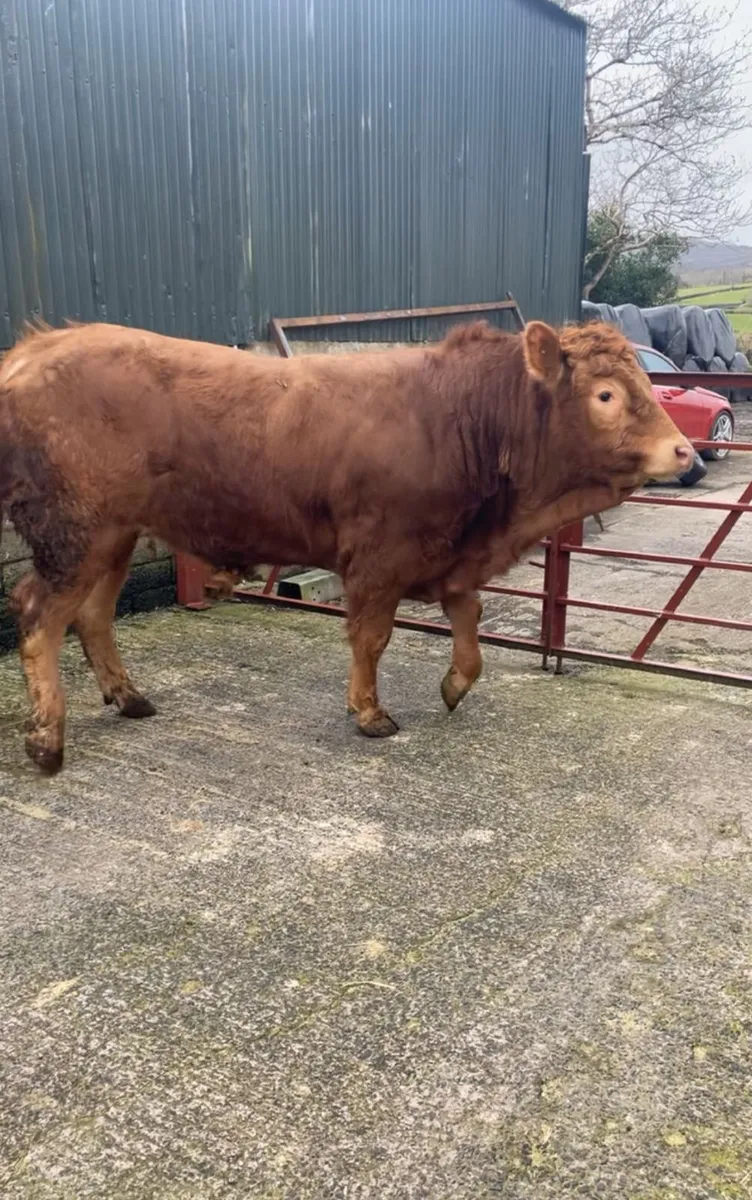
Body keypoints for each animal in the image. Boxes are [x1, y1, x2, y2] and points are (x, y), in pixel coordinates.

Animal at [0, 318, 692, 773]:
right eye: (605, 394)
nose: (684, 451)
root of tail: (36, 347)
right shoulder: (381, 555)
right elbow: (372, 636)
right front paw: (369, 713)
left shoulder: (450, 554)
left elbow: (469, 618)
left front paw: (454, 684)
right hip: (75, 532)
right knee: (39, 615)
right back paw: (46, 741)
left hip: (114, 533)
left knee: (93, 615)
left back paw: (129, 698)